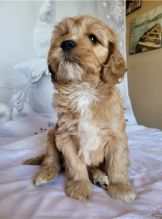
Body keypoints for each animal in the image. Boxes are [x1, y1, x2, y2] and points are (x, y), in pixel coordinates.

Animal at [24, 15, 137, 204]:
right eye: (63, 34)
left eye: (93, 38)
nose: (66, 43)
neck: (83, 89)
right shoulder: (65, 136)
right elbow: (74, 165)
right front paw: (79, 186)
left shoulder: (116, 136)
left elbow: (117, 164)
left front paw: (120, 187)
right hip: (51, 135)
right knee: (52, 161)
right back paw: (46, 173)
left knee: (94, 167)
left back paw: (100, 176)